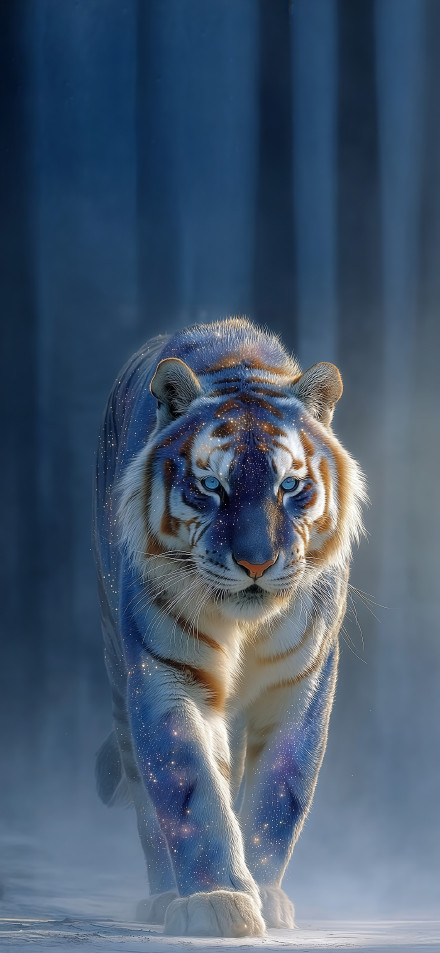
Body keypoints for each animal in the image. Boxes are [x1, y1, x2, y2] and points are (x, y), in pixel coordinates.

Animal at [92, 317, 366, 938]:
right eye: (212, 486)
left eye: (289, 486)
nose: (256, 564)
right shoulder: (169, 676)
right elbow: (193, 793)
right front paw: (218, 900)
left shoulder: (302, 684)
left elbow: (277, 798)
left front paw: (263, 894)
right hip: (121, 672)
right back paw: (164, 896)